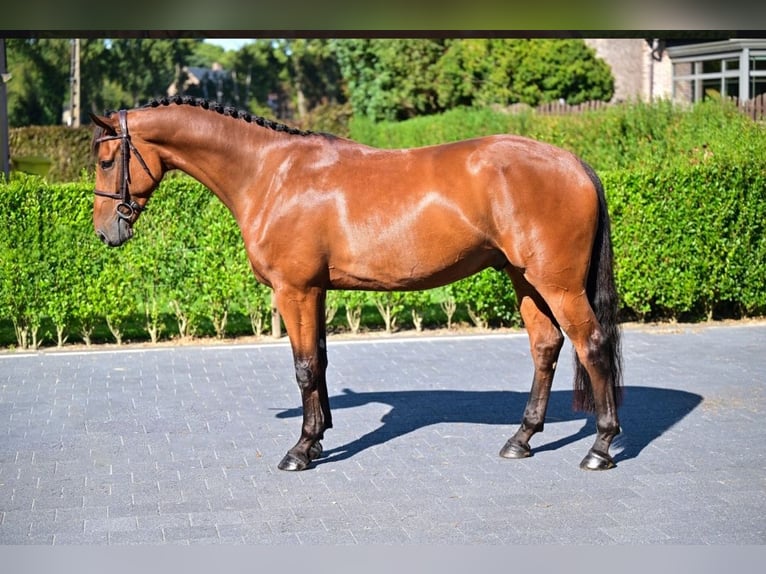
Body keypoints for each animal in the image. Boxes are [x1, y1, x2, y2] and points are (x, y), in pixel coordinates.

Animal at [90, 96, 623, 472]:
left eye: (105, 161)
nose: (104, 232)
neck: (271, 173)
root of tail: (573, 163)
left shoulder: (295, 291)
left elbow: (304, 367)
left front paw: (301, 449)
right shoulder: (316, 290)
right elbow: (320, 362)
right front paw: (319, 436)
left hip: (558, 286)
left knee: (591, 344)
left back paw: (600, 447)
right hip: (525, 279)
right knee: (546, 346)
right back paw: (521, 439)